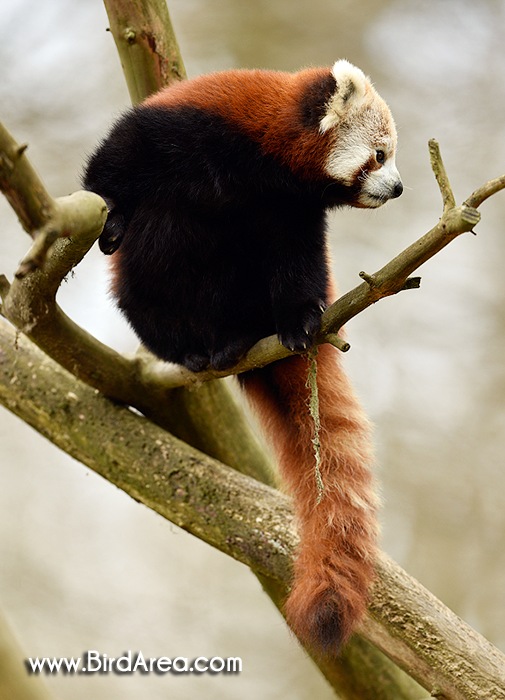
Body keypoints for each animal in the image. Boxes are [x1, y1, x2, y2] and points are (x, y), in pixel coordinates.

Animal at [82, 58, 402, 652]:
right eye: (380, 154)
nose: (398, 187)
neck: (269, 164)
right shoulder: (190, 126)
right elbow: (117, 161)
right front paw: (109, 213)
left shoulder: (292, 214)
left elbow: (299, 264)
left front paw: (302, 319)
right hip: (152, 275)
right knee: (155, 259)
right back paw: (193, 347)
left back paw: (246, 337)